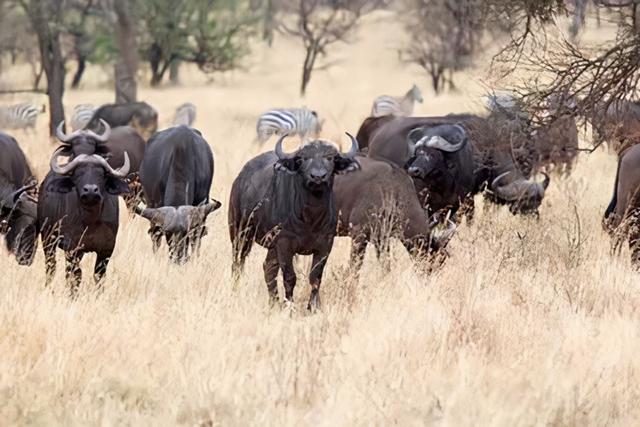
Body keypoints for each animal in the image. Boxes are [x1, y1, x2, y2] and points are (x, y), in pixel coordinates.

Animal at [38, 120, 131, 294]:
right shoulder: (72, 249)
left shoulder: (106, 249)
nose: (90, 190)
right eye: (78, 174)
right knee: (51, 266)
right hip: (47, 238)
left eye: (101, 174)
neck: (91, 220)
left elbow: (99, 276)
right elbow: (75, 276)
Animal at [229, 135, 360, 310]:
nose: (318, 177)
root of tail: (240, 178)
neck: (311, 218)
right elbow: (290, 277)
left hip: (270, 247)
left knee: (268, 268)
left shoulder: (325, 245)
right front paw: (289, 305)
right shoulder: (284, 244)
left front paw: (312, 307)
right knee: (238, 263)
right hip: (240, 233)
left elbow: (315, 277)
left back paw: (274, 301)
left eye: (330, 158)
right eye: (303, 159)